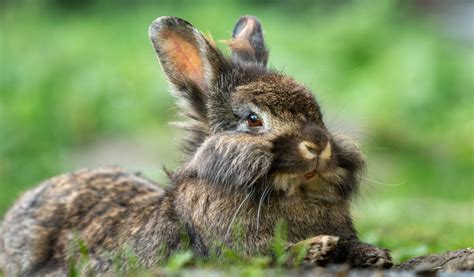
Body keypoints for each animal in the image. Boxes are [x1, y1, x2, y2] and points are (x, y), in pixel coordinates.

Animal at [0, 15, 392, 276]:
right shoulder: (236, 252)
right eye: (253, 120)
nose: (318, 145)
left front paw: (376, 255)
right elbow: (275, 254)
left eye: (317, 113)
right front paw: (319, 246)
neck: (289, 192)